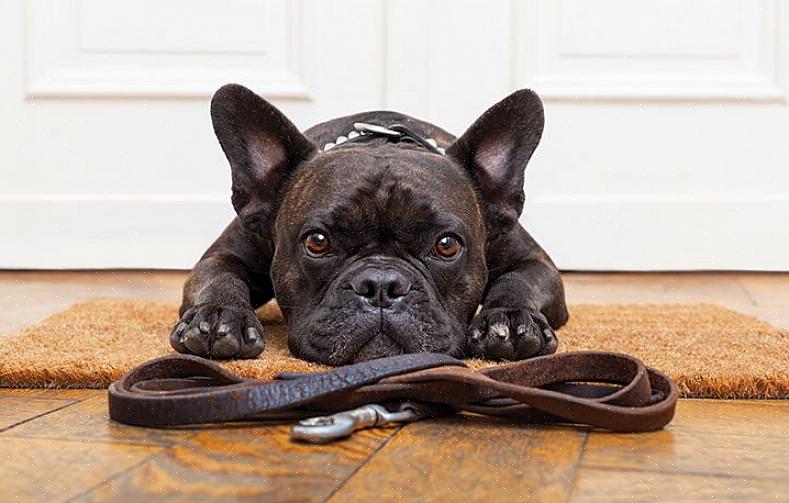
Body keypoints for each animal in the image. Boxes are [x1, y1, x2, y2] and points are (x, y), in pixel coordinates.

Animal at [172, 83, 568, 366]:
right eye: (317, 241)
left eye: (447, 245)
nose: (381, 285)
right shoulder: (223, 256)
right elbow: (220, 278)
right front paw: (220, 315)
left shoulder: (536, 263)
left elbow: (519, 281)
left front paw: (511, 320)